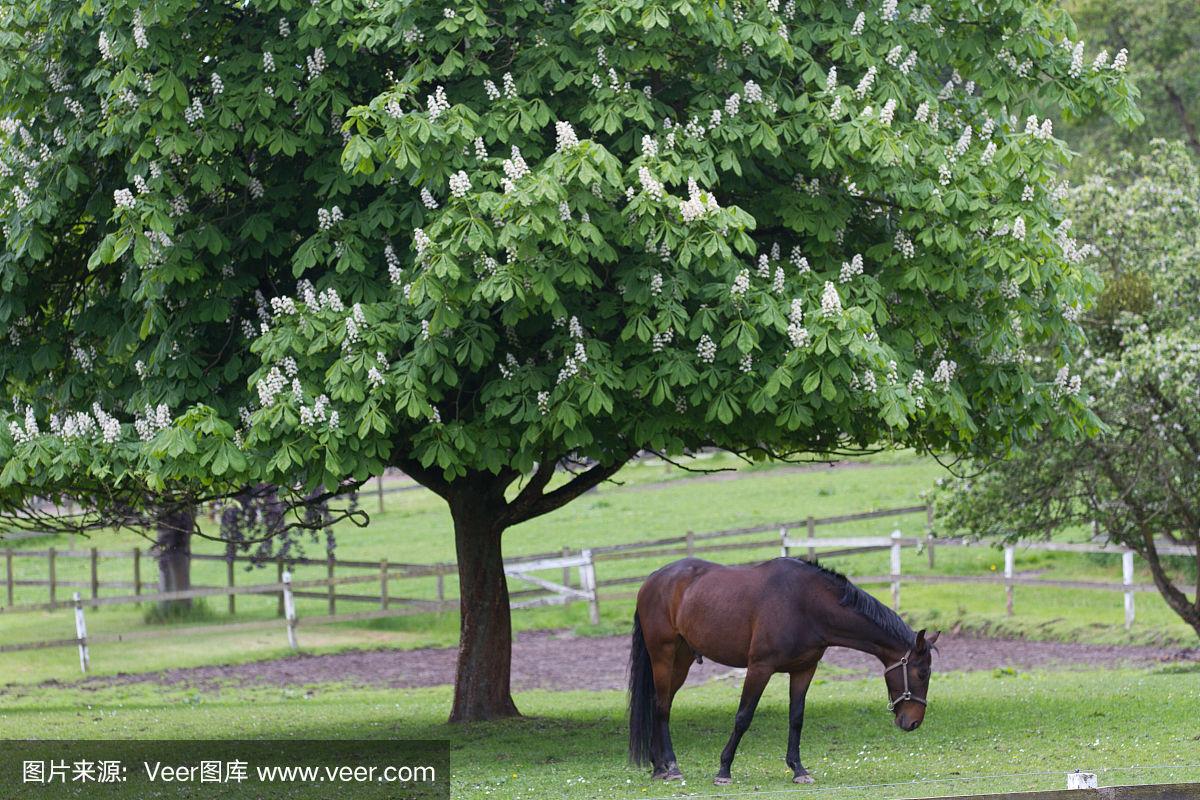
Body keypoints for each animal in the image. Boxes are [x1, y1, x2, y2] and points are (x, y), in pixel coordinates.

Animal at [628, 554, 936, 786]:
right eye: (922, 674)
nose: (913, 722)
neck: (806, 604)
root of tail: (653, 579)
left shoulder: (804, 670)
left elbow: (796, 718)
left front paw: (798, 769)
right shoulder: (759, 668)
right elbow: (743, 717)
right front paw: (724, 770)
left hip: (681, 660)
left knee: (661, 704)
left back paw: (659, 766)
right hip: (663, 656)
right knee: (662, 707)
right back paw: (670, 767)